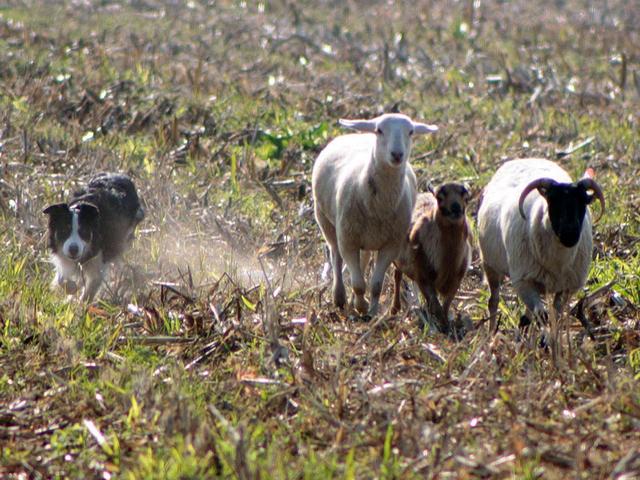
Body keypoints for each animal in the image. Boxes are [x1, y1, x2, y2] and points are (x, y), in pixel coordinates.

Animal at [312, 111, 440, 316]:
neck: (379, 206)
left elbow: (375, 285)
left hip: (366, 237)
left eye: (411, 132)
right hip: (326, 221)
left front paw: (371, 311)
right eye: (379, 130)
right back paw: (339, 298)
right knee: (336, 257)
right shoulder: (348, 241)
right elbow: (357, 284)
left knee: (362, 261)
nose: (397, 154)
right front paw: (361, 307)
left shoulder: (391, 245)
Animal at [478, 158, 608, 330]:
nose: (570, 234)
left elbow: (555, 316)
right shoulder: (523, 281)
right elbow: (542, 314)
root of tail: (525, 159)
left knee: (527, 315)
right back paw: (492, 332)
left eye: (583, 203)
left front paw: (551, 336)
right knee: (493, 301)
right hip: (490, 265)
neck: (558, 262)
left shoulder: (567, 288)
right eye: (553, 202)